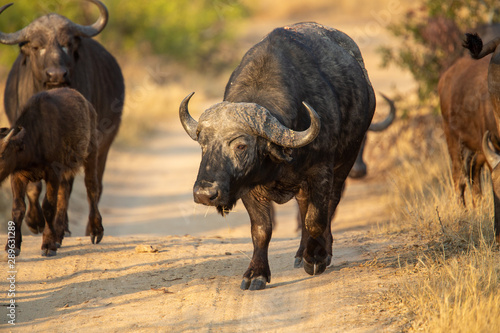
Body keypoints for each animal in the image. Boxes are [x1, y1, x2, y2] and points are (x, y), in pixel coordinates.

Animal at [0, 0, 124, 244]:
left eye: (66, 44)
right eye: (37, 46)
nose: (56, 74)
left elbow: (63, 189)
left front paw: (54, 229)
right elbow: (33, 187)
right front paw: (35, 222)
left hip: (101, 146)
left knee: (93, 185)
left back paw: (82, 228)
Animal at [180, 22, 376, 290]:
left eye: (240, 146)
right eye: (203, 144)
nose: (204, 194)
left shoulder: (321, 171)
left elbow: (316, 218)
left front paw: (316, 257)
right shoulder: (248, 185)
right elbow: (262, 229)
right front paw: (256, 273)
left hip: (346, 161)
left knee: (329, 205)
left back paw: (318, 251)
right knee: (303, 206)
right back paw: (300, 253)